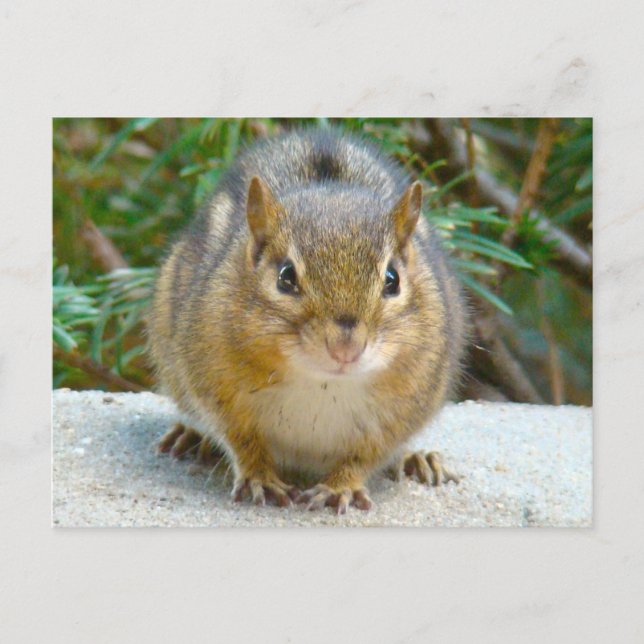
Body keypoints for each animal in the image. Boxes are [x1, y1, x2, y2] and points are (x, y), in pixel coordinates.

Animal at [148, 127, 468, 514]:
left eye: (392, 279)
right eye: (285, 277)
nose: (345, 348)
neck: (322, 383)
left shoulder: (404, 408)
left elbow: (365, 455)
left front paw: (340, 487)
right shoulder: (216, 386)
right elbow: (241, 439)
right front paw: (259, 477)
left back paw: (416, 460)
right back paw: (191, 436)